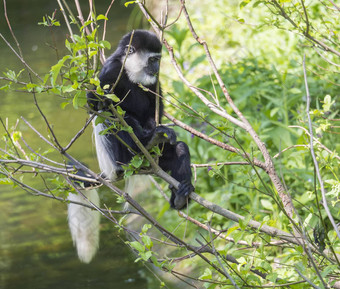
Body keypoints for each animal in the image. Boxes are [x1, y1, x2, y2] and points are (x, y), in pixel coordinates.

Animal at [87, 29, 194, 209]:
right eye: (152, 60)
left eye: (158, 59)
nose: (157, 68)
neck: (129, 72)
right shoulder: (111, 71)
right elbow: (95, 104)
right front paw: (102, 100)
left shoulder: (153, 81)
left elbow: (155, 107)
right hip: (121, 159)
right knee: (117, 118)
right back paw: (145, 142)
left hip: (160, 160)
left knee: (180, 148)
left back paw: (180, 197)